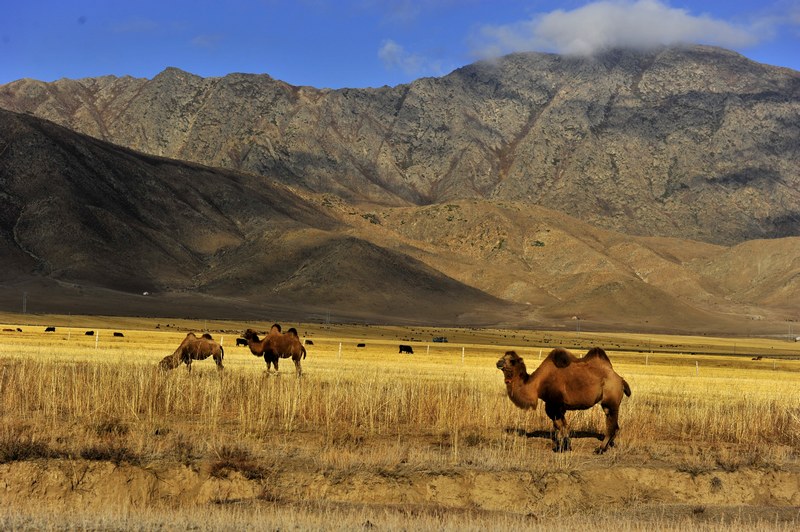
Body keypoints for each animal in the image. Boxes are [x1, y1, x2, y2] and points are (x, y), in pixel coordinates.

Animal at [494, 350, 632, 454]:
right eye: (503, 357)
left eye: (512, 360)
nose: (498, 362)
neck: (538, 384)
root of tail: (620, 379)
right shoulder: (555, 406)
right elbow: (561, 426)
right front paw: (565, 446)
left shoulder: (554, 404)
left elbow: (559, 426)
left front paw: (561, 447)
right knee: (615, 424)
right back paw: (609, 446)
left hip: (610, 398)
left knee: (611, 423)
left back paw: (600, 449)